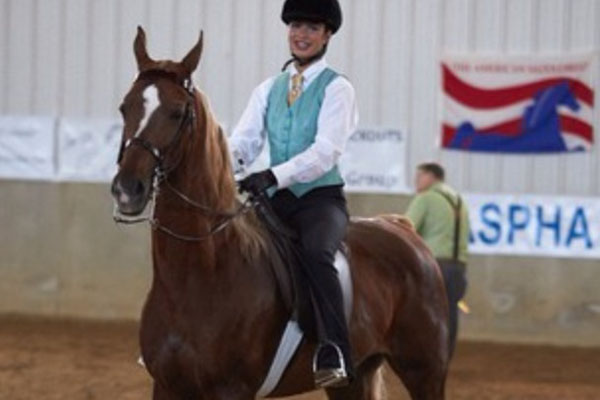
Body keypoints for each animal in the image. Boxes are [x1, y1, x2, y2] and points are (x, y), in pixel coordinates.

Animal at [111, 26, 450, 398]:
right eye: (124, 107)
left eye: (177, 112)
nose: (127, 189)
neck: (199, 273)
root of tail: (403, 230)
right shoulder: (167, 385)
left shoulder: (232, 389)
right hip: (354, 377)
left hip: (424, 372)